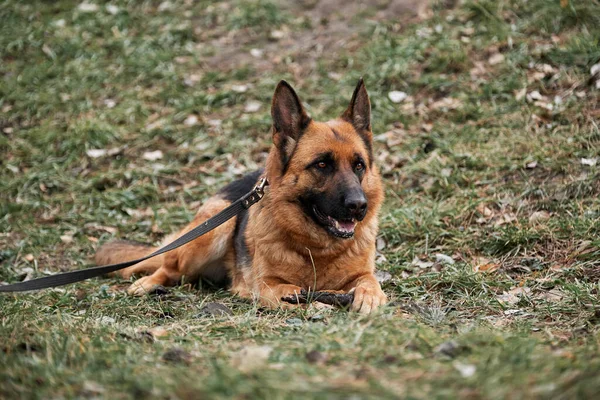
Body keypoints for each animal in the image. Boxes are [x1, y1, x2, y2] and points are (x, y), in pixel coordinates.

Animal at [94, 79, 384, 314]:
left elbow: (370, 282)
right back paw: (148, 283)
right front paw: (316, 301)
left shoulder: (363, 273)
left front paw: (368, 297)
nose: (358, 206)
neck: (318, 251)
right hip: (215, 229)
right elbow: (290, 290)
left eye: (359, 165)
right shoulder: (267, 285)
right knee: (168, 266)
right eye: (322, 164)